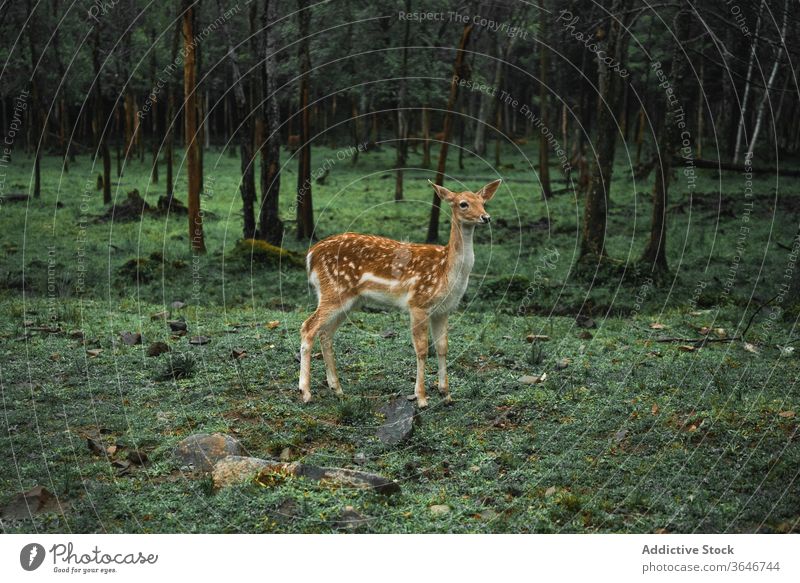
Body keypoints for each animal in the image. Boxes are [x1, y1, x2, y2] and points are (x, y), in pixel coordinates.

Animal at [300, 178, 500, 406]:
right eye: (463, 204)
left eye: (483, 202)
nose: (486, 217)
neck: (446, 272)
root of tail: (311, 255)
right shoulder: (418, 303)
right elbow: (422, 349)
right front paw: (421, 398)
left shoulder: (444, 310)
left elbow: (442, 347)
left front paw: (446, 394)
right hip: (333, 290)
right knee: (308, 327)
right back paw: (306, 392)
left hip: (349, 300)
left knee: (325, 333)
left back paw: (338, 389)